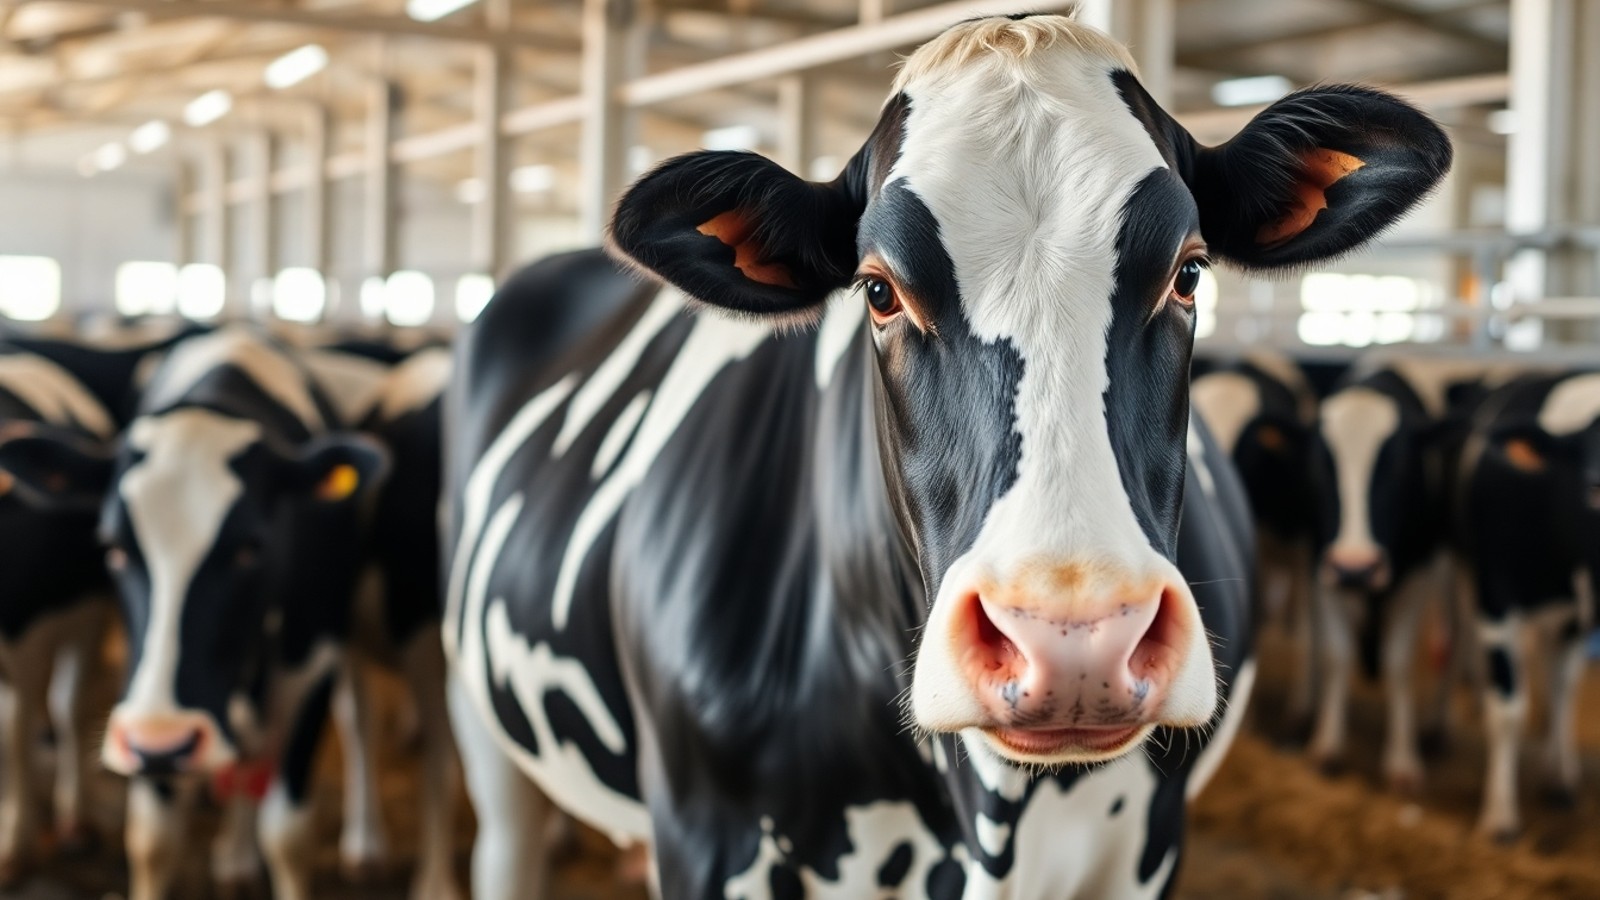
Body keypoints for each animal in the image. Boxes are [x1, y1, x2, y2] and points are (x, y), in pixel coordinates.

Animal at [92, 326, 387, 900]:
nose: (162, 741)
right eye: (113, 548)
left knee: (356, 717)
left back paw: (359, 842)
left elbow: (288, 836)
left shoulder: (312, 661)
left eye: (252, 548)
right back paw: (234, 853)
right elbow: (155, 841)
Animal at [1455, 370, 1600, 840]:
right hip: (1466, 576)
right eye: (1594, 488)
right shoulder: (1496, 591)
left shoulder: (1576, 611)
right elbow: (1507, 708)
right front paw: (1500, 816)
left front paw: (1560, 776)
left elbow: (1562, 685)